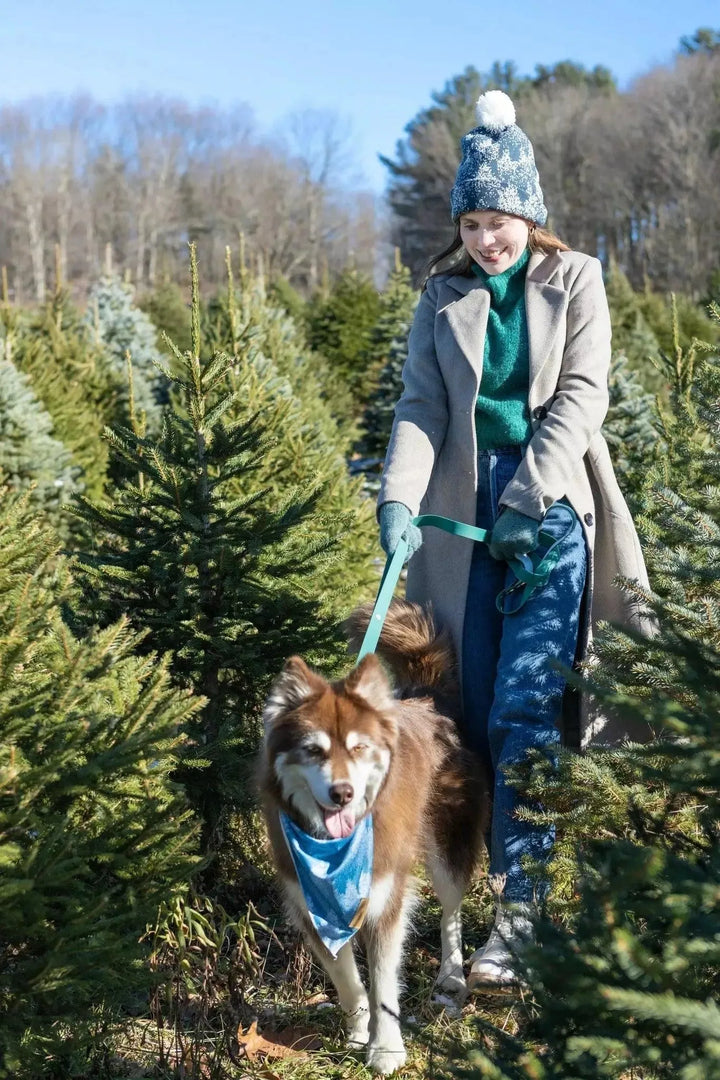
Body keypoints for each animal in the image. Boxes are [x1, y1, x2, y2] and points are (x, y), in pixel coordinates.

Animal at [259, 600, 490, 1071]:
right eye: (314, 750)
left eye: (359, 747)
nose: (342, 793)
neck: (333, 851)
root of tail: (428, 696)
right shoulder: (310, 905)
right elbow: (348, 980)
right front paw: (356, 1032)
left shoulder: (385, 898)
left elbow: (384, 982)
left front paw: (386, 1050)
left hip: (446, 842)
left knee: (451, 909)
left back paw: (452, 974)